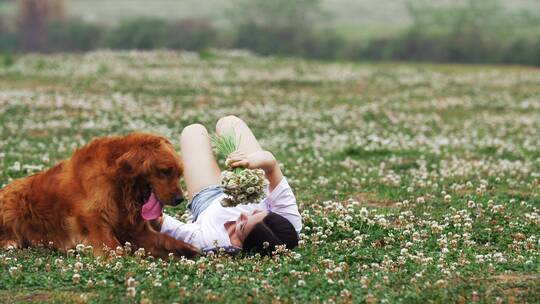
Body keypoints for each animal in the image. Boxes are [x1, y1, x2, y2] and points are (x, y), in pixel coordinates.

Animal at [0, 132, 198, 258]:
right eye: (166, 171)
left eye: (179, 174)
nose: (180, 199)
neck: (119, 183)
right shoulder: (92, 219)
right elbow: (113, 246)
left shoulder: (136, 231)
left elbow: (164, 240)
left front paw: (187, 249)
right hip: (11, 203)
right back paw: (10, 242)